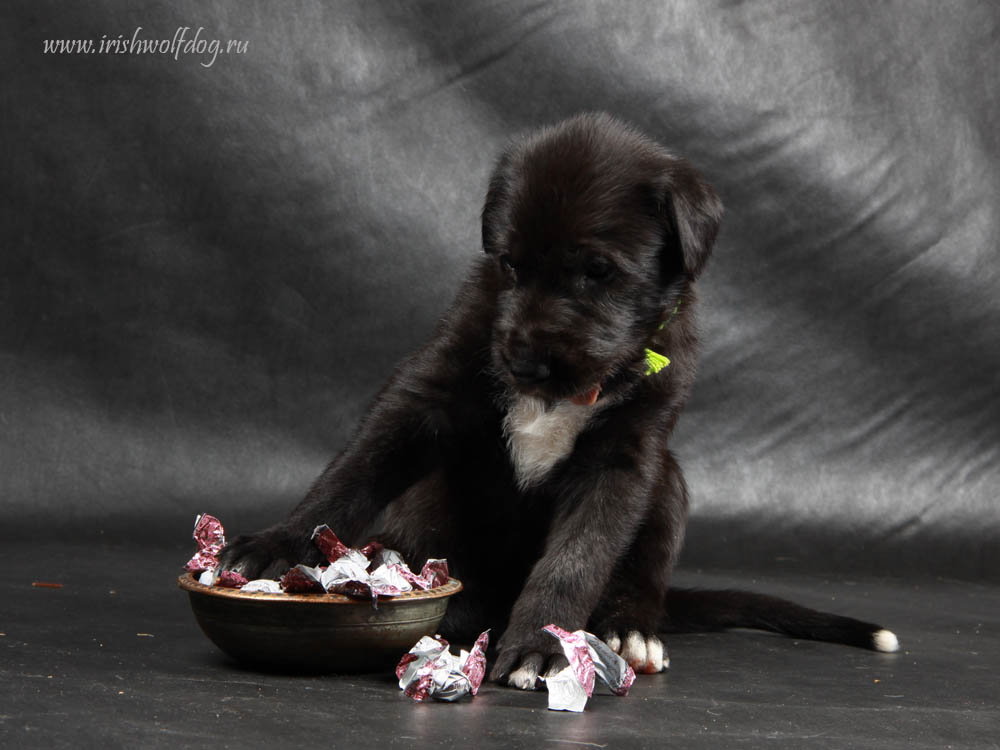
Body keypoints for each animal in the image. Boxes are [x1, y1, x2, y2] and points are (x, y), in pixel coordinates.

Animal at [221, 114, 900, 692]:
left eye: (597, 270)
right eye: (509, 264)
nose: (524, 360)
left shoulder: (624, 457)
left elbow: (579, 556)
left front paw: (543, 644)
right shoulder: (432, 387)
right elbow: (353, 471)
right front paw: (280, 543)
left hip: (669, 483)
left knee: (645, 570)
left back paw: (630, 630)